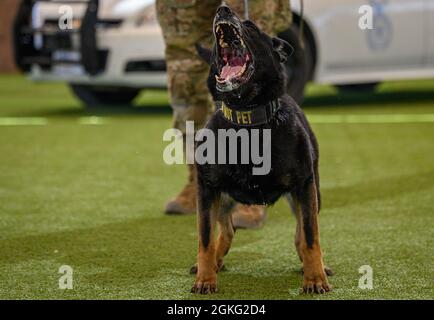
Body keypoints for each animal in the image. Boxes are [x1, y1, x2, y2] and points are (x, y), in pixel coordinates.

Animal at [192, 5, 330, 296]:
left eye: (252, 27)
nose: (222, 8)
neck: (247, 120)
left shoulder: (304, 185)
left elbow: (310, 236)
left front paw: (315, 278)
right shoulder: (207, 188)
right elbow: (205, 238)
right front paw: (205, 279)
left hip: (311, 192)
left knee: (300, 231)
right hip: (223, 197)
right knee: (228, 229)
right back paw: (213, 263)